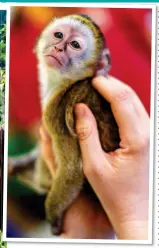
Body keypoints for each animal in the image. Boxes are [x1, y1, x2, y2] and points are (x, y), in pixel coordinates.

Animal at [34, 13, 119, 234]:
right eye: (59, 35)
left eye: (74, 45)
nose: (58, 48)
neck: (65, 83)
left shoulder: (54, 114)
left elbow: (72, 170)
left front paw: (52, 216)